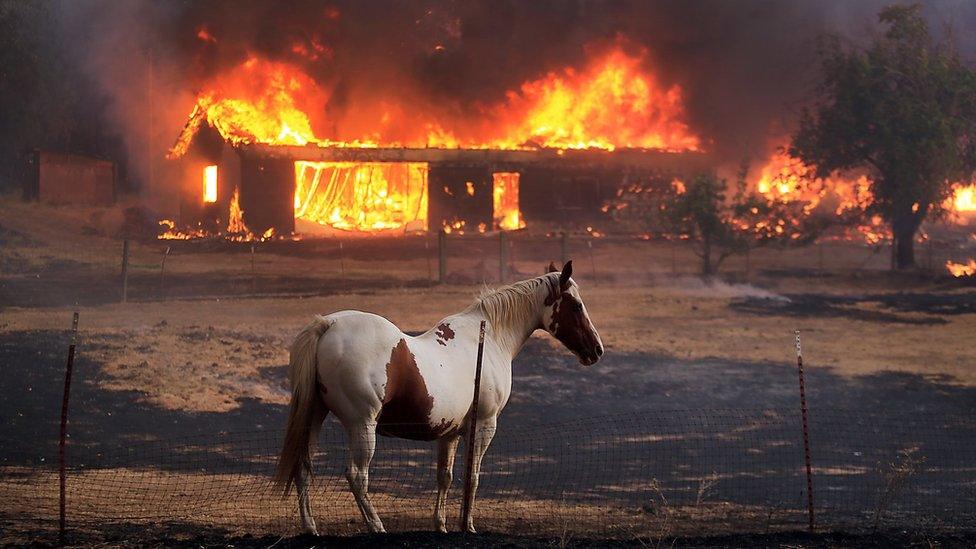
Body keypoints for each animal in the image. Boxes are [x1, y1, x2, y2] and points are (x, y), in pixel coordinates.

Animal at [272, 260, 604, 532]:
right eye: (576, 305)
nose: (597, 349)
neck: (487, 338)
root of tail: (328, 325)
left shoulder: (450, 433)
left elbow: (446, 476)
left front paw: (441, 524)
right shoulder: (484, 425)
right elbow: (473, 475)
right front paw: (467, 525)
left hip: (314, 416)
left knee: (303, 469)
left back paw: (311, 527)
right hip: (362, 425)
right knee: (357, 476)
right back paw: (376, 526)